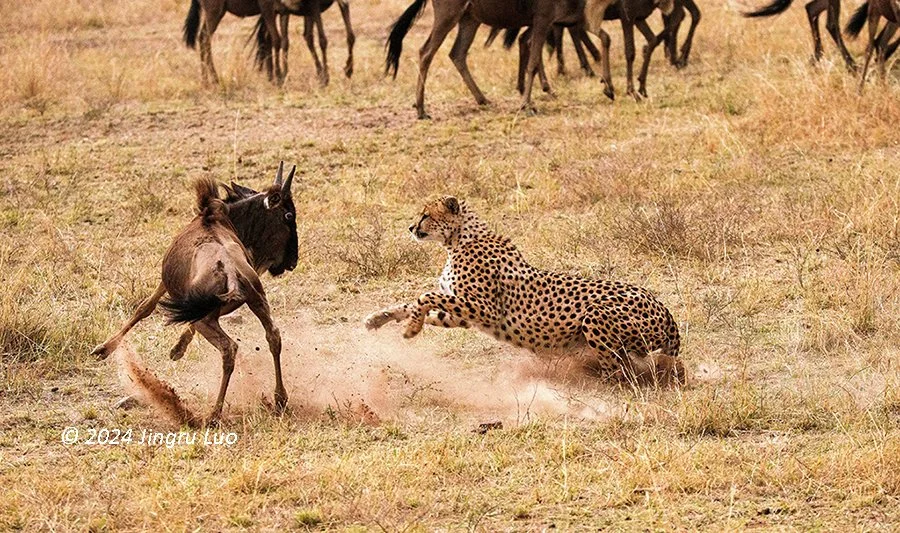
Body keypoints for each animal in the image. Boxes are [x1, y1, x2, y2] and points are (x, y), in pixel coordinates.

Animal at [364, 196, 685, 385]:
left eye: (426, 215)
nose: (410, 228)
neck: (459, 240)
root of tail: (664, 309)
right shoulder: (463, 314)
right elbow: (415, 303)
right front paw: (379, 319)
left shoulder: (485, 311)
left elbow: (425, 296)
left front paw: (411, 329)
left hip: (596, 316)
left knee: (620, 373)